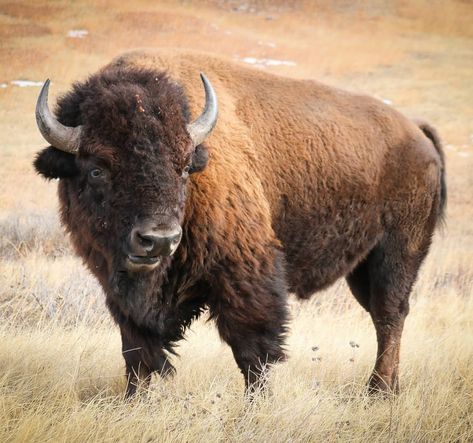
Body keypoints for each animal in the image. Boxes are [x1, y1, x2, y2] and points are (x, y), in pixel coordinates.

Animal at [35, 50, 444, 398]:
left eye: (184, 166)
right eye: (96, 169)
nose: (159, 240)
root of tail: (416, 131)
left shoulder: (245, 271)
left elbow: (253, 350)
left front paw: (256, 405)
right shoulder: (120, 293)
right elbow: (137, 353)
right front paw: (136, 401)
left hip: (398, 251)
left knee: (390, 315)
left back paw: (379, 391)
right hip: (360, 267)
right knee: (380, 314)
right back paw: (387, 388)